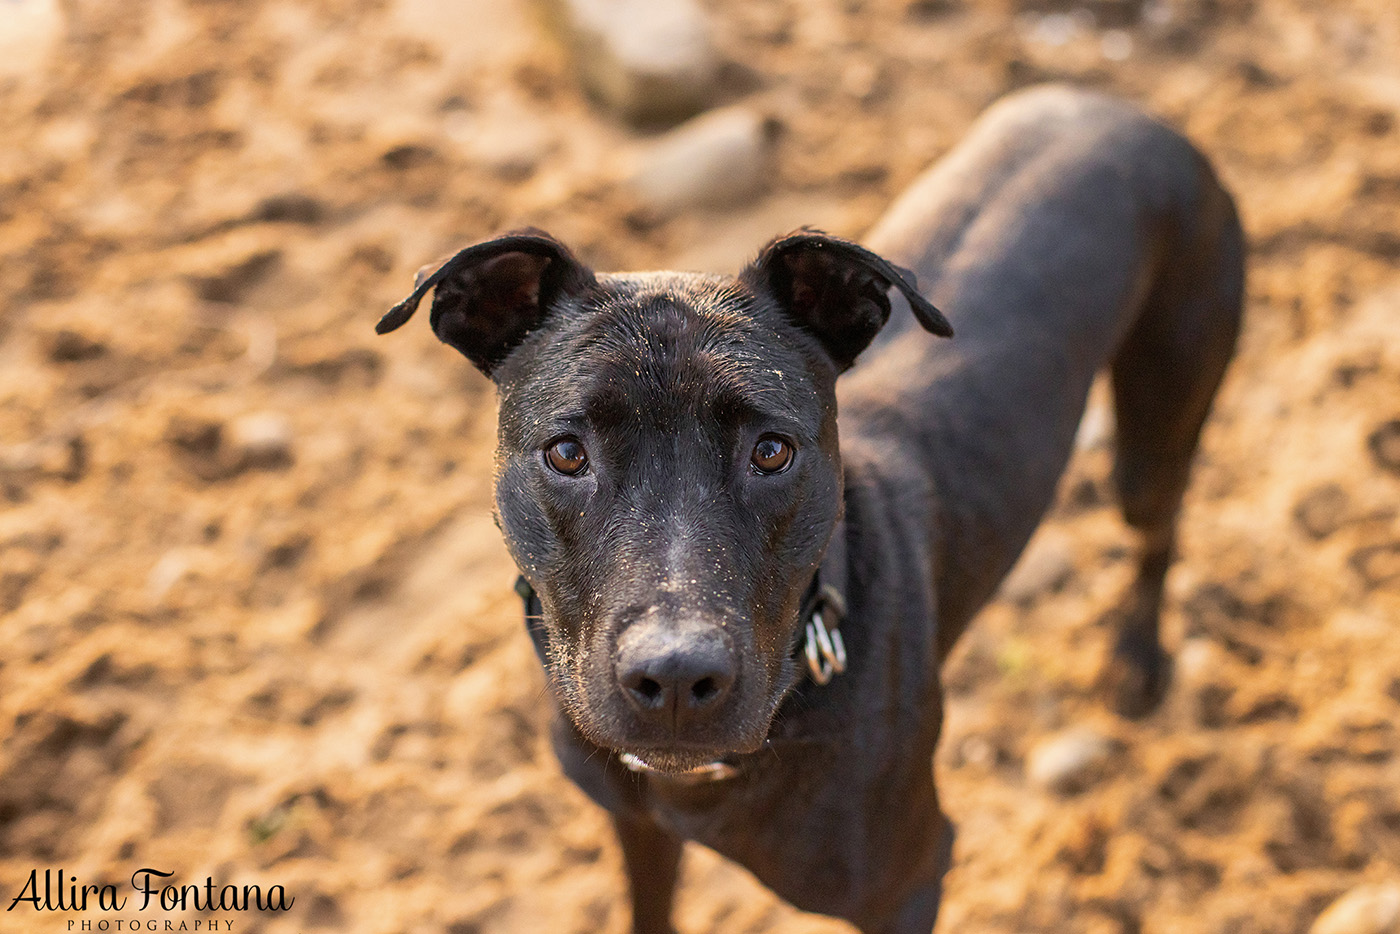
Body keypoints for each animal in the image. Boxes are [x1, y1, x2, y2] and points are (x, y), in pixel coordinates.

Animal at [378, 84, 1243, 929]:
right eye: (566, 453)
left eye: (771, 451)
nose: (676, 678)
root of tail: (1127, 110)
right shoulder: (636, 826)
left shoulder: (909, 885)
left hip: (1158, 421)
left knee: (1158, 531)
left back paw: (1135, 663)